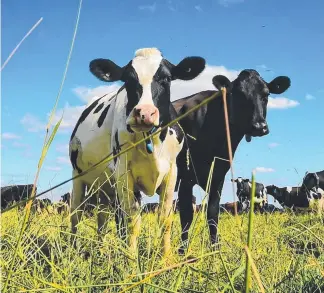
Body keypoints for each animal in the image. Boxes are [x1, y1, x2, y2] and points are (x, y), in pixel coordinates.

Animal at [69, 46, 205, 254]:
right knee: (76, 214)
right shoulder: (124, 173)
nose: (145, 113)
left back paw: (100, 250)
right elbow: (132, 222)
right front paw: (132, 260)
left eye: (166, 78)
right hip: (78, 175)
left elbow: (165, 219)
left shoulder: (172, 172)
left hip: (105, 185)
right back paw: (72, 250)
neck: (151, 142)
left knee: (102, 217)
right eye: (128, 80)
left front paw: (166, 258)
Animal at [172, 69, 292, 253]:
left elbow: (212, 213)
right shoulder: (186, 176)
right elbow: (186, 216)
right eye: (239, 94)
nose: (259, 126)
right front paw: (182, 252)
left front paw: (215, 248)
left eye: (266, 94)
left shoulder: (218, 175)